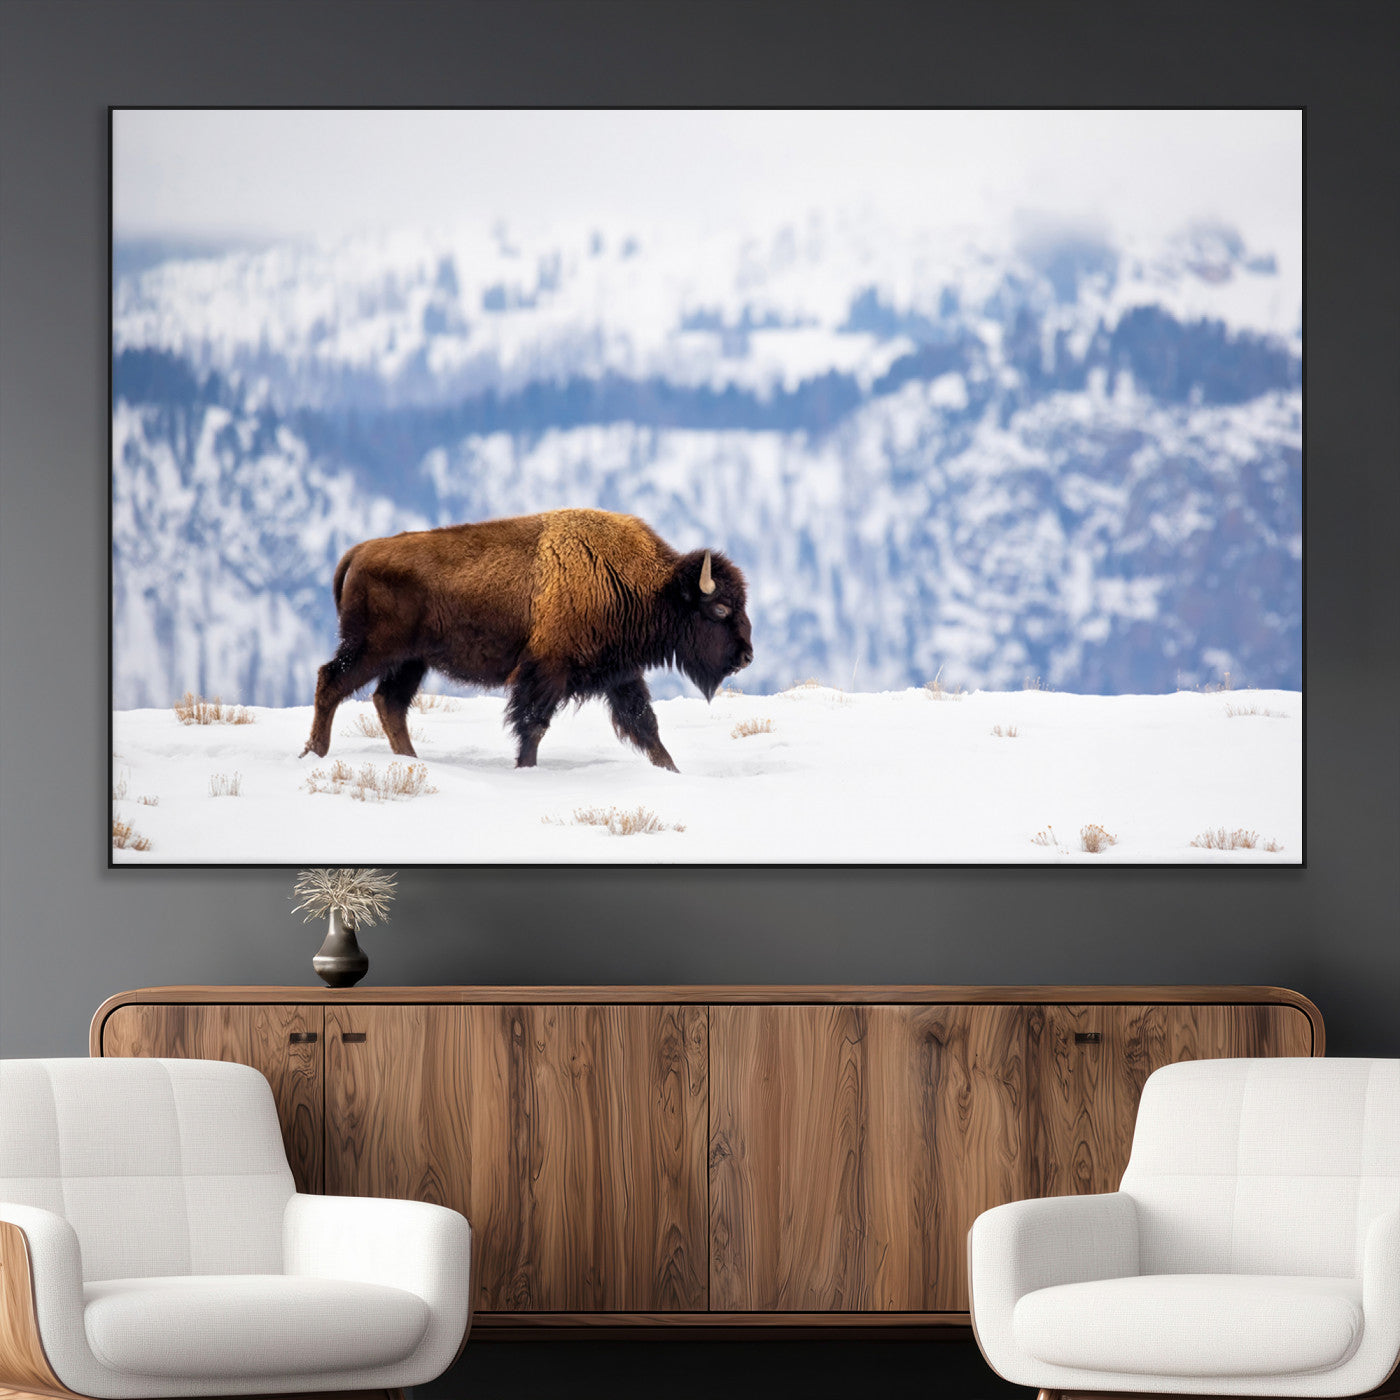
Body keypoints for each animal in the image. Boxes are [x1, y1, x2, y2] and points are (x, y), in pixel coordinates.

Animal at [301, 508, 753, 771]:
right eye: (720, 610)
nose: (747, 656)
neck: (643, 584)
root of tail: (359, 551)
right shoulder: (546, 672)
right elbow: (533, 724)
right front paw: (525, 769)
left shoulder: (621, 675)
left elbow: (646, 725)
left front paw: (672, 771)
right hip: (373, 649)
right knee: (332, 681)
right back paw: (315, 753)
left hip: (411, 660)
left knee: (388, 702)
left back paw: (410, 760)